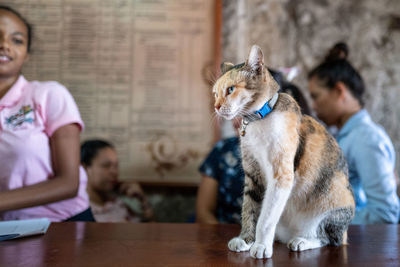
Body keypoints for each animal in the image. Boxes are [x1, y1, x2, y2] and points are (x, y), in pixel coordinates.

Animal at [214, 45, 354, 260]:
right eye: (215, 93)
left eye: (230, 89)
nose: (216, 106)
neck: (258, 121)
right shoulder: (252, 172)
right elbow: (249, 208)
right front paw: (246, 239)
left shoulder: (281, 175)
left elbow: (265, 219)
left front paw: (261, 246)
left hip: (336, 197)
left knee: (331, 239)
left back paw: (302, 241)